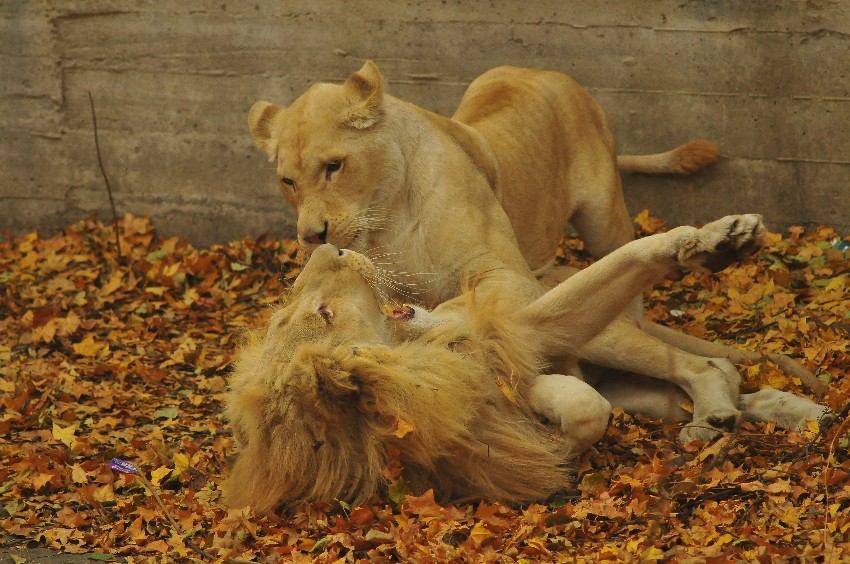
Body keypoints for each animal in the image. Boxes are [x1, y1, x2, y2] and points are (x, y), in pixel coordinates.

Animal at [224, 215, 828, 512]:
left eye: (306, 302)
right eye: (322, 311)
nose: (332, 248)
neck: (418, 358)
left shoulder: (522, 328)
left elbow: (636, 254)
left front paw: (710, 239)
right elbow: (579, 403)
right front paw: (552, 442)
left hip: (608, 338)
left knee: (706, 368)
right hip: (635, 386)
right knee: (722, 379)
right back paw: (748, 418)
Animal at [247, 61, 828, 440]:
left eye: (335, 166)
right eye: (286, 181)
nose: (313, 236)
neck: (383, 222)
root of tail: (541, 70)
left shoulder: (504, 273)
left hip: (604, 225)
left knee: (701, 360)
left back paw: (715, 411)